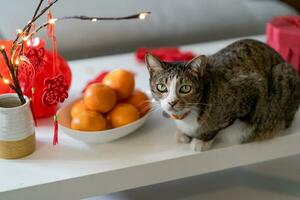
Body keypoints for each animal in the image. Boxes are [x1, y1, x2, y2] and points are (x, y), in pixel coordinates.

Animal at [145, 39, 300, 152]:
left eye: (185, 88)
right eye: (161, 87)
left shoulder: (250, 90)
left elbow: (217, 127)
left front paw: (201, 140)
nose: (172, 102)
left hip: (283, 74)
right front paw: (185, 134)